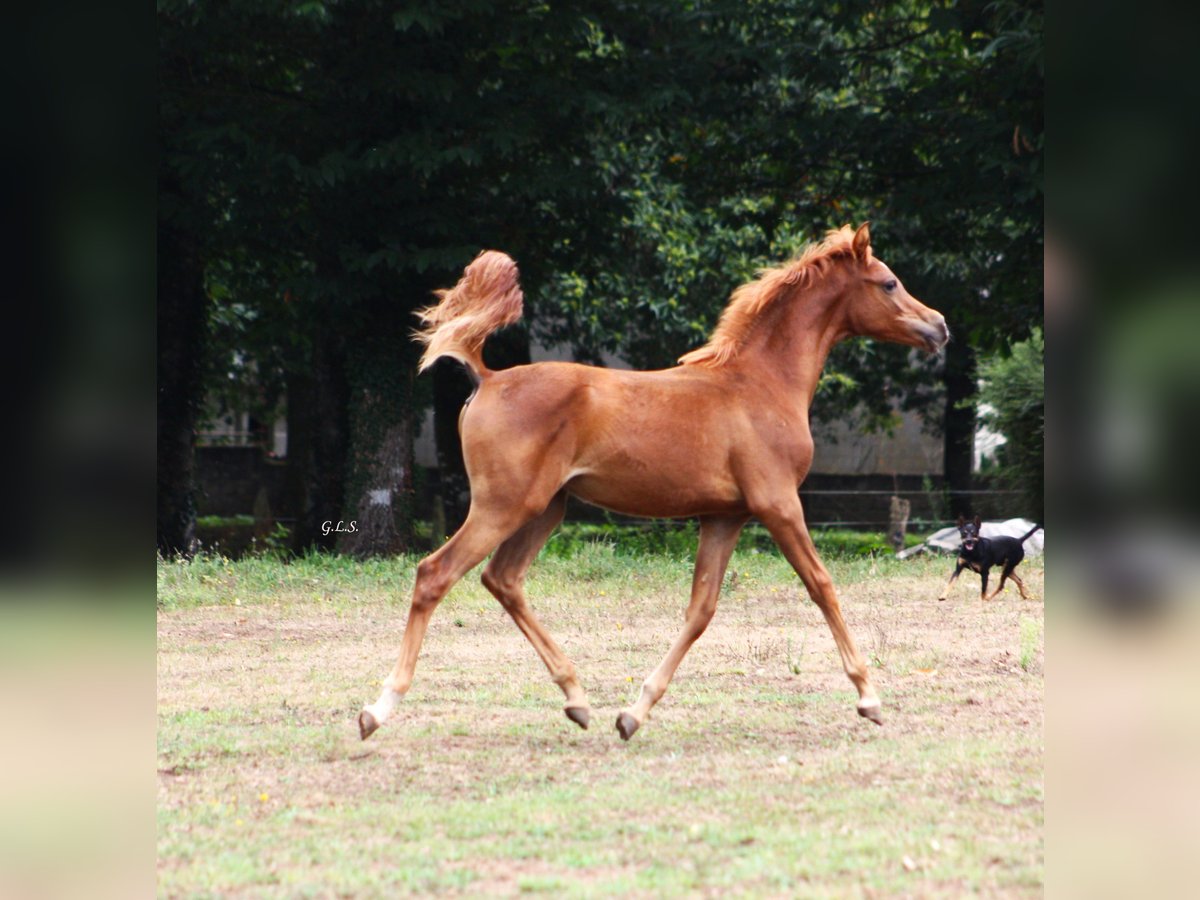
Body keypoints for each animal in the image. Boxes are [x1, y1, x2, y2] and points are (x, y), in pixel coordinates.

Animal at [355, 224, 945, 739]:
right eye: (889, 282)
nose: (939, 326)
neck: (761, 384)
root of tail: (489, 377)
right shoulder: (778, 504)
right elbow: (822, 585)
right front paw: (869, 697)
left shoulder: (725, 516)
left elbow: (701, 610)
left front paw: (632, 714)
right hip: (503, 506)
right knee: (435, 574)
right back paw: (378, 710)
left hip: (547, 509)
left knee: (502, 579)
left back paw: (577, 699)